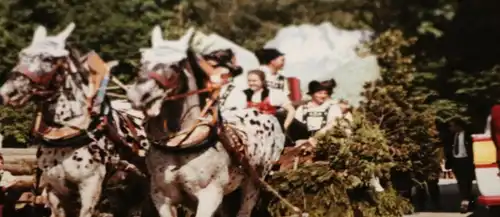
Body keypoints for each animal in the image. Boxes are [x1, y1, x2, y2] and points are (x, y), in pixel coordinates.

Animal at [0, 22, 148, 217]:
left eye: (48, 59)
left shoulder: (90, 188)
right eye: (21, 55)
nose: (7, 93)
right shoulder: (55, 190)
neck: (66, 135)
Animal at [126, 26, 286, 217]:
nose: (139, 95)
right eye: (142, 59)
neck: (179, 145)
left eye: (177, 64)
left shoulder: (210, 195)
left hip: (253, 184)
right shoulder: (162, 197)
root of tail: (267, 115)